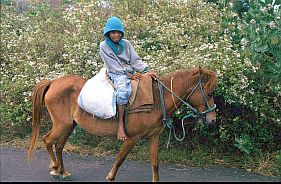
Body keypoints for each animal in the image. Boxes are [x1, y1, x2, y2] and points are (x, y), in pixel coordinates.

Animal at [27, 66, 217, 181]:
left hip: (69, 125)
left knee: (58, 146)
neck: (156, 100)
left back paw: (62, 171)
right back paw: (54, 168)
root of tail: (52, 82)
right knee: (47, 140)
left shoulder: (153, 137)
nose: (212, 119)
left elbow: (155, 163)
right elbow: (120, 159)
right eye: (209, 93)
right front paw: (110, 177)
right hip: (63, 125)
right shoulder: (132, 138)